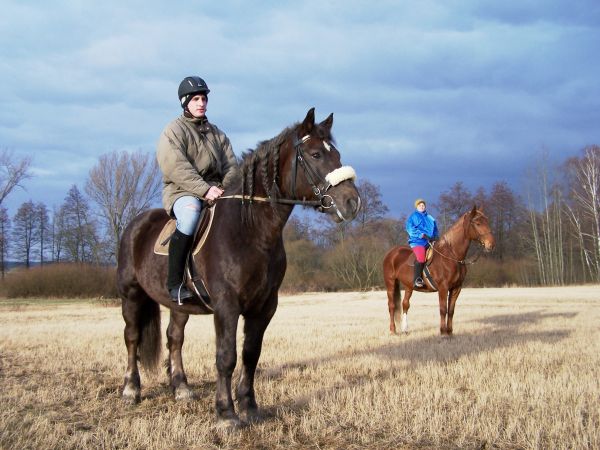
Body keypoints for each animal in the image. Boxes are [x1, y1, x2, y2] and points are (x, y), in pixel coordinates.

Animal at [118, 109, 360, 428]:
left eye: (337, 153)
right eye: (316, 154)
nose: (352, 202)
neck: (250, 229)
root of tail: (135, 224)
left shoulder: (264, 307)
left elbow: (250, 354)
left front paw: (250, 406)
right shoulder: (226, 305)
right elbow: (226, 357)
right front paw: (226, 414)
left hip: (178, 304)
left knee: (174, 338)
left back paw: (181, 389)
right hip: (131, 295)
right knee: (132, 337)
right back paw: (131, 389)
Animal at [382, 206, 494, 336]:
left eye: (487, 221)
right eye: (478, 223)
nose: (491, 244)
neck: (452, 255)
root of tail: (391, 253)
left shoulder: (456, 288)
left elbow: (451, 310)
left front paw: (450, 332)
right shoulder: (443, 288)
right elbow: (443, 309)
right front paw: (443, 332)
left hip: (409, 286)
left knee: (405, 304)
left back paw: (405, 329)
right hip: (390, 283)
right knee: (392, 306)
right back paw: (392, 330)